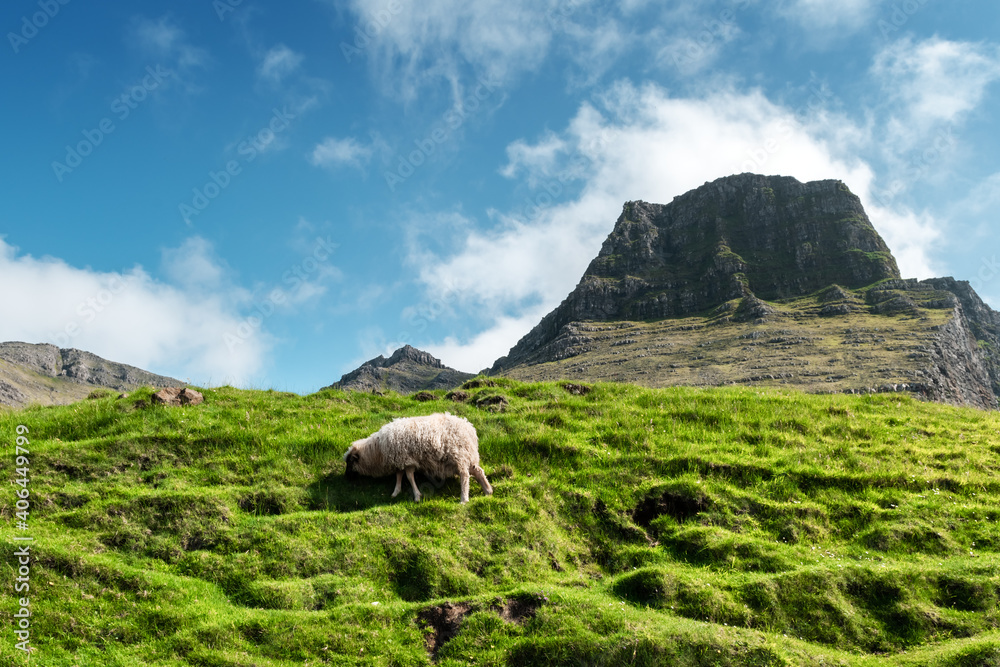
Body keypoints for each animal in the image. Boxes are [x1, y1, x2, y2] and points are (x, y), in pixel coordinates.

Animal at [342, 410, 494, 504]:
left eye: (350, 462)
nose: (346, 477)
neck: (377, 449)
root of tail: (469, 427)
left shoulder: (408, 461)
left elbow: (409, 477)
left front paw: (417, 496)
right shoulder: (400, 460)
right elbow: (399, 475)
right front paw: (396, 492)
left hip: (459, 455)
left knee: (465, 475)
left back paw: (464, 499)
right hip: (468, 455)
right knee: (478, 471)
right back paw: (488, 490)